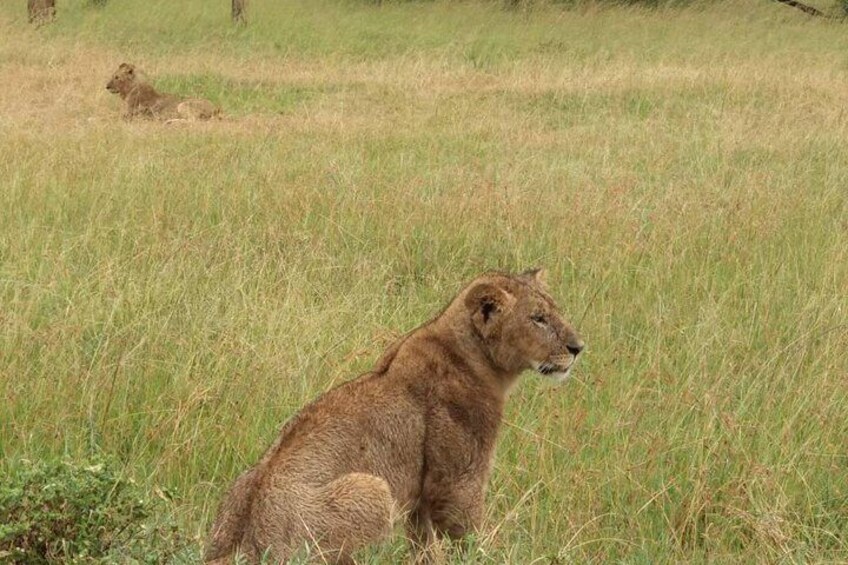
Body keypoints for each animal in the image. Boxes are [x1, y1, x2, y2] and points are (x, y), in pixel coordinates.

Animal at [205, 268, 588, 564]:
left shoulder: (419, 499)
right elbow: (466, 536)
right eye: (538, 319)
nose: (578, 348)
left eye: (555, 312)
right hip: (373, 489)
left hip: (244, 481)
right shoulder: (457, 483)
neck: (477, 359)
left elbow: (424, 547)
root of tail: (246, 546)